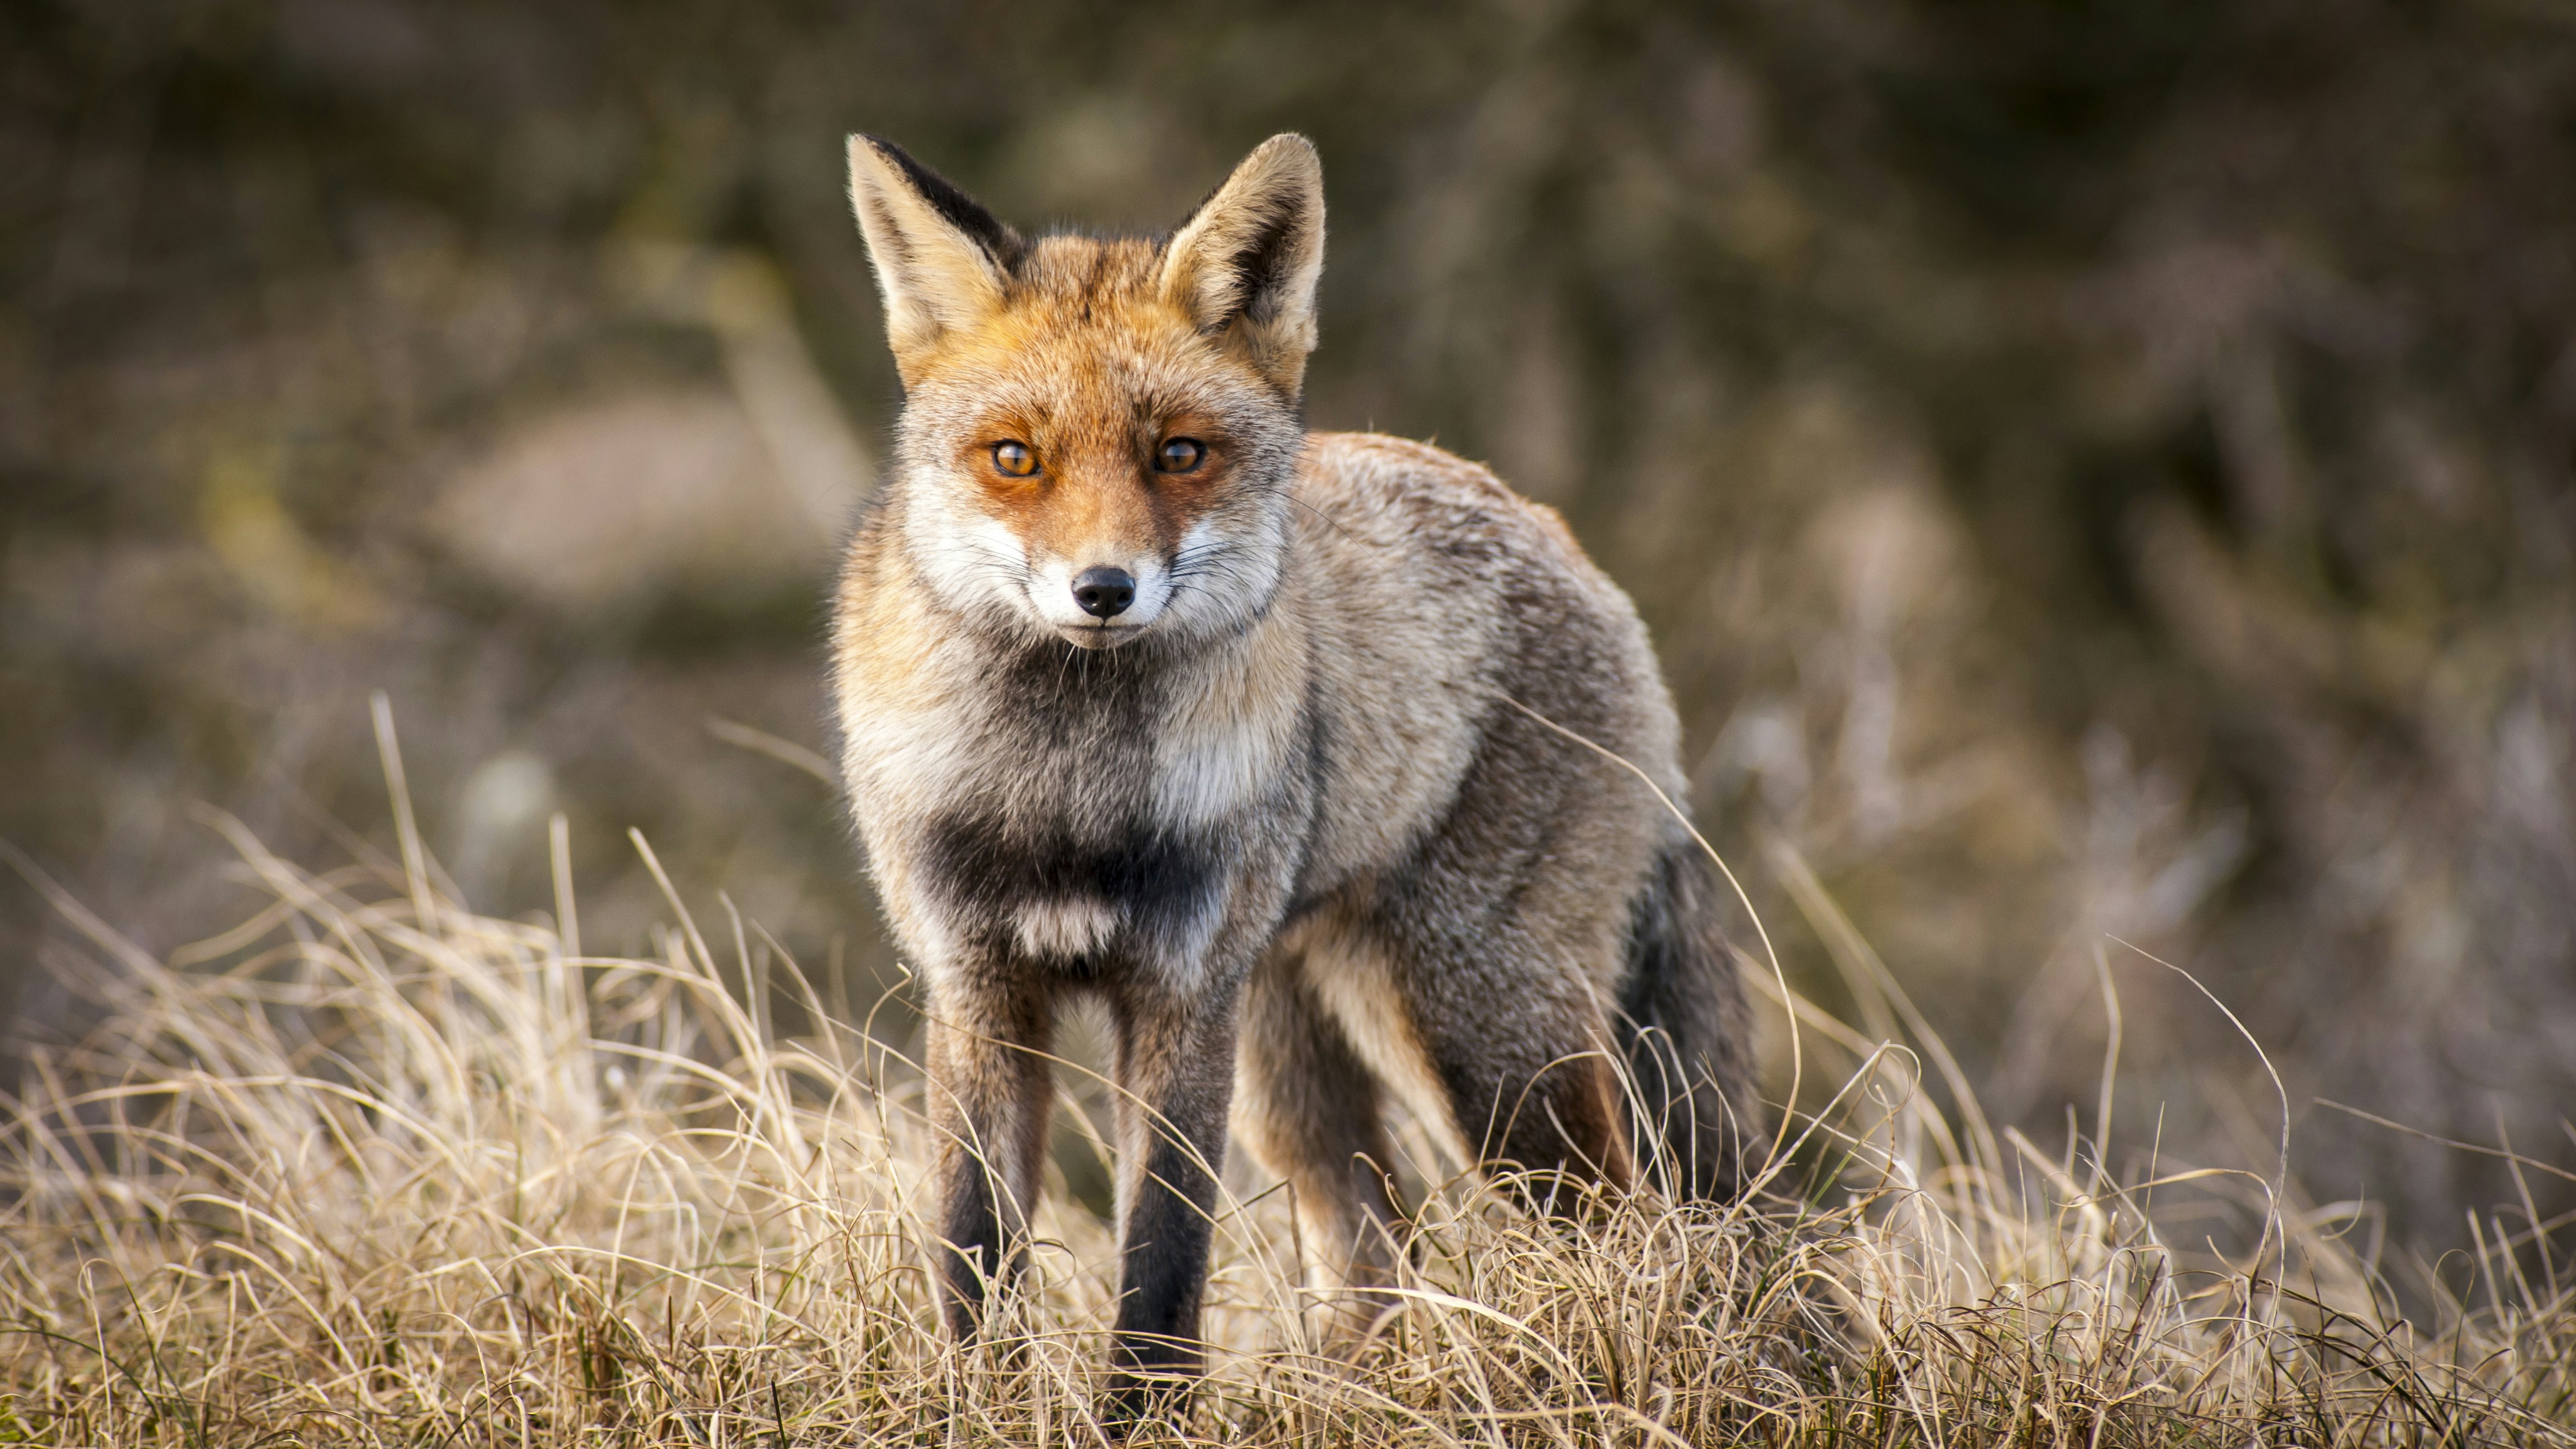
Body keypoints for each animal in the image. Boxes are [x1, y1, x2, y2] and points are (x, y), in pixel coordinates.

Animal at [830, 132, 1755, 1415]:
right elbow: (974, 1255)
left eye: (1179, 454)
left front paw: (1143, 1420)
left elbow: (1162, 1257)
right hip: (1298, 1058)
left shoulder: (1180, 999)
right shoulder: (977, 989)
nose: (1102, 590)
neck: (1065, 798)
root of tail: (1560, 537)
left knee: (1618, 1225)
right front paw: (978, 1406)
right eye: (1014, 459)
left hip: (1474, 1034)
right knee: (1372, 1249)